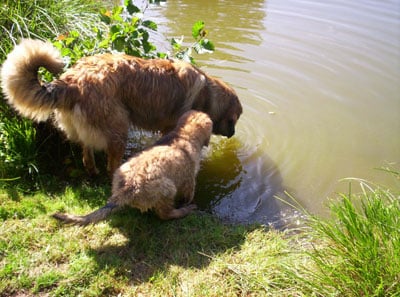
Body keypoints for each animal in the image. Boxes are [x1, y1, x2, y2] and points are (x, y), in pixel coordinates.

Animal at [0, 38, 241, 175]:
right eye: (235, 119)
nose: (233, 133)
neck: (208, 92)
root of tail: (71, 80)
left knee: (87, 153)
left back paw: (92, 170)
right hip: (118, 128)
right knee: (112, 165)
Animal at [53, 110, 212, 223]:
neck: (183, 135)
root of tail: (128, 187)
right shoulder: (189, 180)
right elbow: (189, 193)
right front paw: (189, 203)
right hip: (168, 188)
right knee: (165, 214)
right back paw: (184, 211)